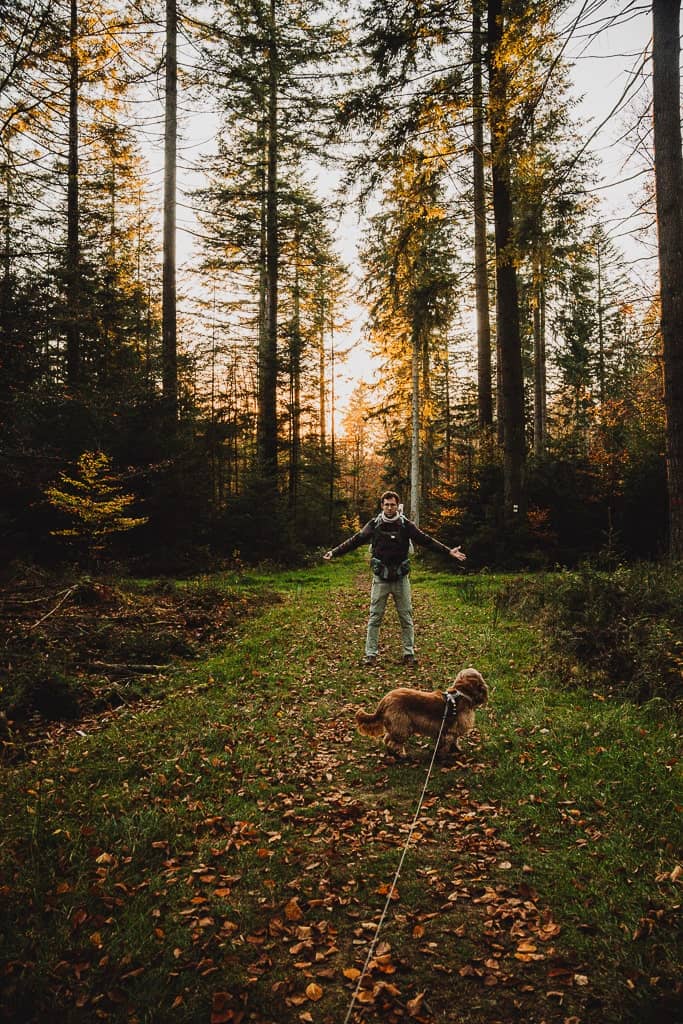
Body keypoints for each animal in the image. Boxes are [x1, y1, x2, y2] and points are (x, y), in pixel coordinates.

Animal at [356, 667, 489, 757]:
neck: (462, 693)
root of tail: (385, 699)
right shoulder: (450, 731)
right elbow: (448, 743)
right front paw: (444, 755)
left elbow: (454, 741)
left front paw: (456, 749)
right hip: (402, 726)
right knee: (393, 743)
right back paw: (401, 755)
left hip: (396, 727)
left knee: (388, 739)